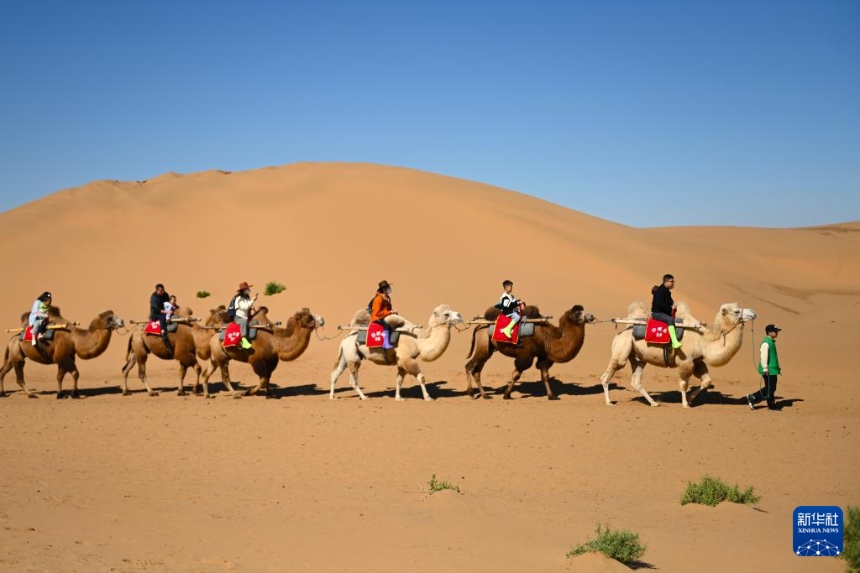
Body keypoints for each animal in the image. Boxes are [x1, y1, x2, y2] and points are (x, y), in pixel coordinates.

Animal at [330, 304, 464, 402]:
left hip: (345, 357)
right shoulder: (407, 359)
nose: (460, 315)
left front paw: (399, 398)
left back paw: (332, 397)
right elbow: (421, 377)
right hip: (353, 357)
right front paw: (428, 397)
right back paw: (364, 397)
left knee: (335, 374)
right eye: (446, 314)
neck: (418, 340)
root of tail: (345, 339)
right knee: (353, 380)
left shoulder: (402, 362)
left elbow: (399, 380)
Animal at [466, 302, 596, 400]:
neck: (547, 337)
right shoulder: (526, 356)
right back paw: (471, 393)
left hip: (487, 350)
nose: (591, 316)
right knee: (469, 366)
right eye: (578, 313)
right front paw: (507, 395)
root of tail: (478, 326)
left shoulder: (543, 355)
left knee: (476, 371)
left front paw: (551, 396)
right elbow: (516, 375)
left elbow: (545, 375)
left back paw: (485, 395)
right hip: (483, 345)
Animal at [600, 300, 756, 406]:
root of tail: (620, 334)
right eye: (736, 311)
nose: (754, 312)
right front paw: (685, 404)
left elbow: (707, 381)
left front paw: (691, 399)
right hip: (622, 349)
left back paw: (654, 403)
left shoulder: (697, 360)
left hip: (638, 358)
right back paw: (609, 402)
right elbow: (683, 384)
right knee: (606, 375)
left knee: (636, 381)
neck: (704, 341)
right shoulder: (685, 361)